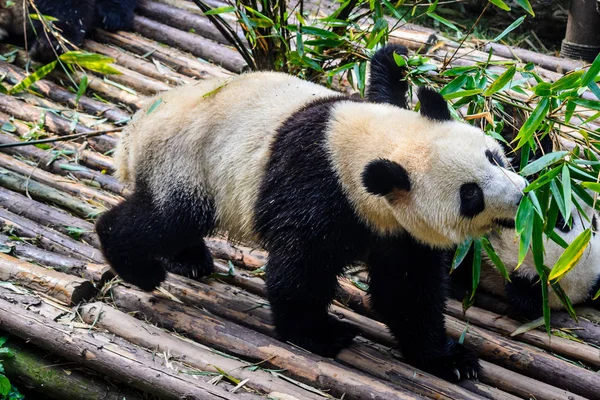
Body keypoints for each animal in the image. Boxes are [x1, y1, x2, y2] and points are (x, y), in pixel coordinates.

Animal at [96, 43, 528, 382]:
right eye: (470, 195)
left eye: (493, 156)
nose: (521, 198)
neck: (374, 144)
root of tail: (135, 130)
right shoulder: (320, 190)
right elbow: (298, 272)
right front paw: (321, 334)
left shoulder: (396, 225)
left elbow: (406, 291)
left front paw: (450, 360)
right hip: (189, 161)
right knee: (169, 219)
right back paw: (139, 265)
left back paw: (189, 261)